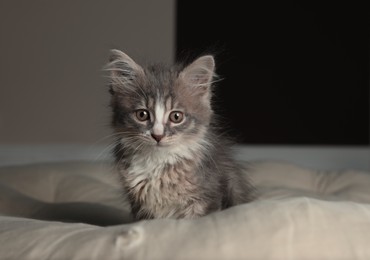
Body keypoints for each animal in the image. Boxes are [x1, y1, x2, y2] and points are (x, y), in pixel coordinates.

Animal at [105, 49, 253, 219]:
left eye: (176, 117)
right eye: (142, 115)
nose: (158, 135)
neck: (158, 162)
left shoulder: (206, 197)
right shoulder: (140, 206)